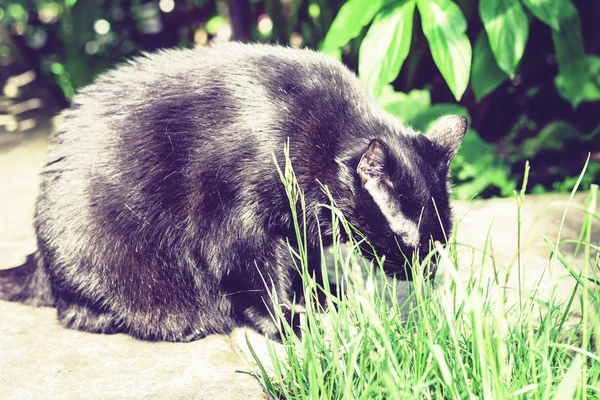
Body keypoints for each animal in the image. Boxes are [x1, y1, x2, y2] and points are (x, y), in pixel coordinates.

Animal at [0, 44, 466, 344]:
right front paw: (291, 324)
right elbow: (260, 285)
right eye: (406, 238)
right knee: (80, 310)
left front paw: (322, 299)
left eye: (443, 239)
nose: (428, 271)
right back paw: (184, 323)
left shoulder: (299, 230)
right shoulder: (234, 225)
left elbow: (307, 267)